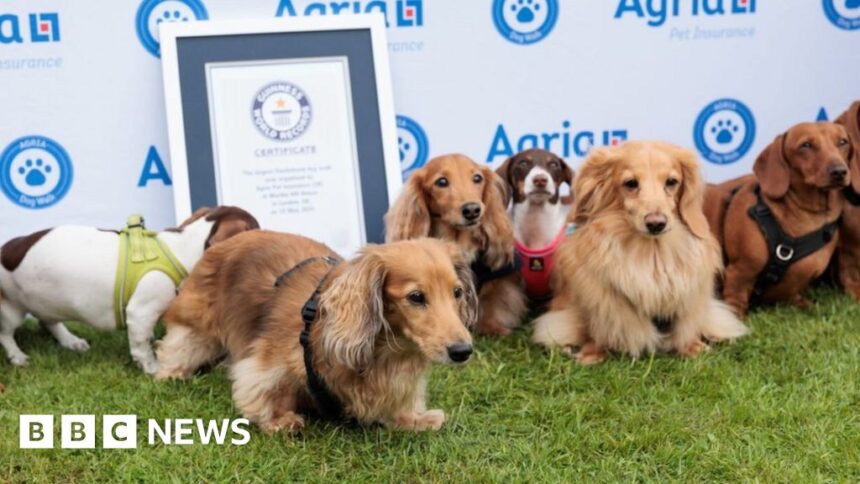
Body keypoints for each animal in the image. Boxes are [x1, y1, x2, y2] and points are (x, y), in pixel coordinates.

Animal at [0, 206, 256, 372]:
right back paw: (18, 356)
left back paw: (71, 341)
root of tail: (5, 249)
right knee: (6, 334)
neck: (184, 246)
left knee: (48, 321)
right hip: (11, 310)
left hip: (47, 301)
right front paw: (153, 368)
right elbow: (142, 347)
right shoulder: (140, 313)